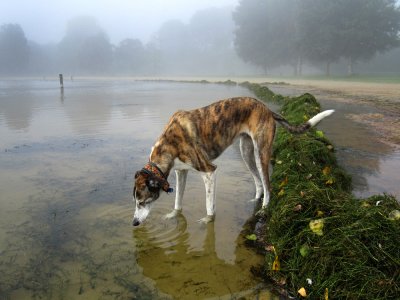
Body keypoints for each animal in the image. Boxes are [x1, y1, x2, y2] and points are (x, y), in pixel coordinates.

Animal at [132, 97, 334, 226]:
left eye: (142, 202)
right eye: (136, 202)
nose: (134, 223)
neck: (169, 143)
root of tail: (267, 109)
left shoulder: (209, 171)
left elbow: (209, 205)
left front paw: (208, 220)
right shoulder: (181, 172)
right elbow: (177, 201)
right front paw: (173, 215)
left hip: (261, 153)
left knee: (267, 185)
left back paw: (263, 209)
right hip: (246, 152)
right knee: (258, 182)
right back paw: (255, 199)